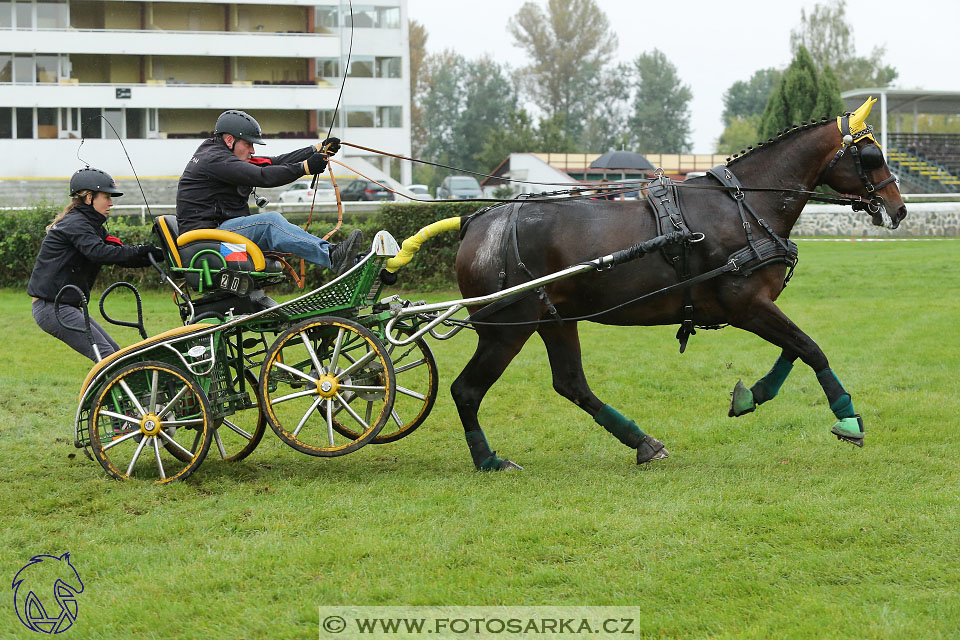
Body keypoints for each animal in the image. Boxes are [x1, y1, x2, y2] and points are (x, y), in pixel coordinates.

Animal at [450, 99, 908, 470]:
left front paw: (751, 395)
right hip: (507, 329)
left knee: (570, 383)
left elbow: (793, 350)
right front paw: (847, 417)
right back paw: (488, 460)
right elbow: (810, 348)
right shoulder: (747, 305)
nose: (899, 209)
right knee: (466, 390)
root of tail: (480, 221)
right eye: (871, 155)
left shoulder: (756, 306)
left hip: (554, 320)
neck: (744, 205)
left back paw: (642, 442)